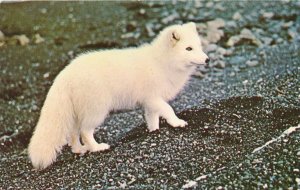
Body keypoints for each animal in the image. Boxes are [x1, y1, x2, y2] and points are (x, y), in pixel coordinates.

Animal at [27, 22, 209, 169]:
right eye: (188, 48)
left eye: (200, 46)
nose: (207, 59)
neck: (162, 63)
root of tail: (65, 73)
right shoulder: (153, 98)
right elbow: (169, 109)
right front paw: (177, 123)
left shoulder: (150, 103)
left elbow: (153, 118)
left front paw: (154, 131)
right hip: (97, 110)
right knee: (85, 131)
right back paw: (97, 147)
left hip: (80, 112)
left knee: (73, 133)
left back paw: (80, 150)